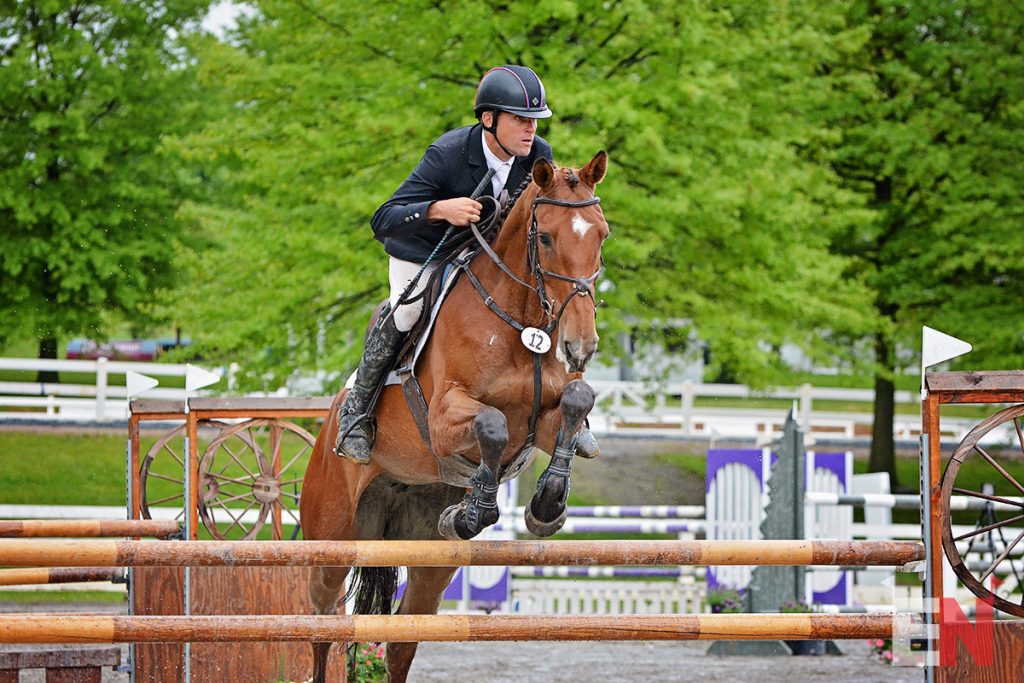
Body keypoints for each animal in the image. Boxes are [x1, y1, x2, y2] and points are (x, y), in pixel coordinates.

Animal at [301, 152, 606, 679]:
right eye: (546, 237)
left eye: (602, 235)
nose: (580, 346)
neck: (518, 320)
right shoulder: (443, 422)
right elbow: (492, 425)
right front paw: (477, 509)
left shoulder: (541, 420)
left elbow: (575, 401)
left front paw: (544, 505)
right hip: (331, 541)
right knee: (321, 624)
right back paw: (356, 434)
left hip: (428, 561)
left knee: (403, 637)